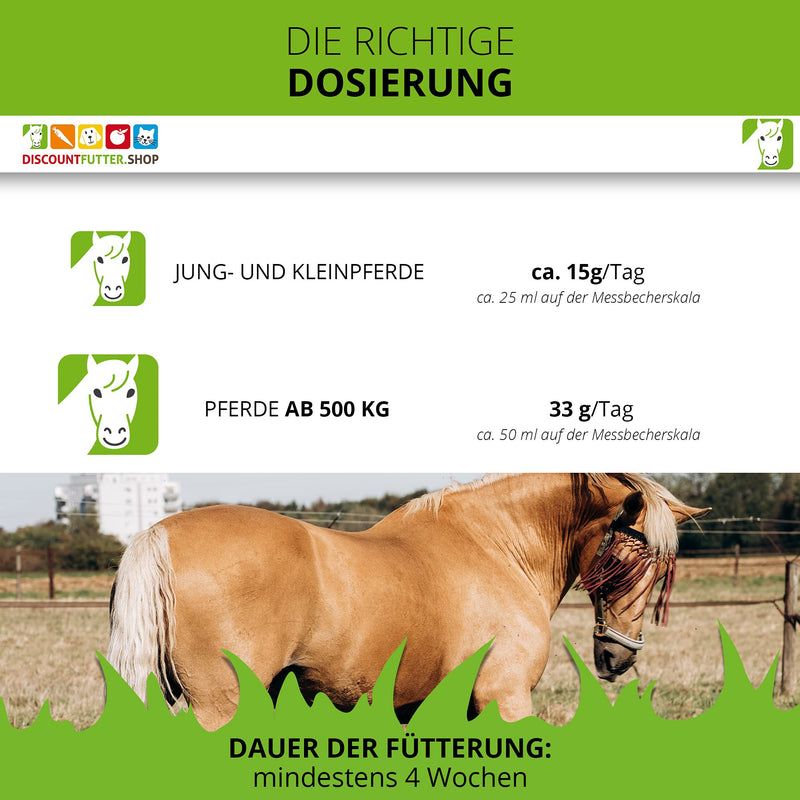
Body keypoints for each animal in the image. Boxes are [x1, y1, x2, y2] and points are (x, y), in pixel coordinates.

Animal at [108, 473, 708, 730]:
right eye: (628, 562)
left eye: (663, 573)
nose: (618, 657)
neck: (495, 546)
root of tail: (156, 533)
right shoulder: (507, 697)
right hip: (224, 707)